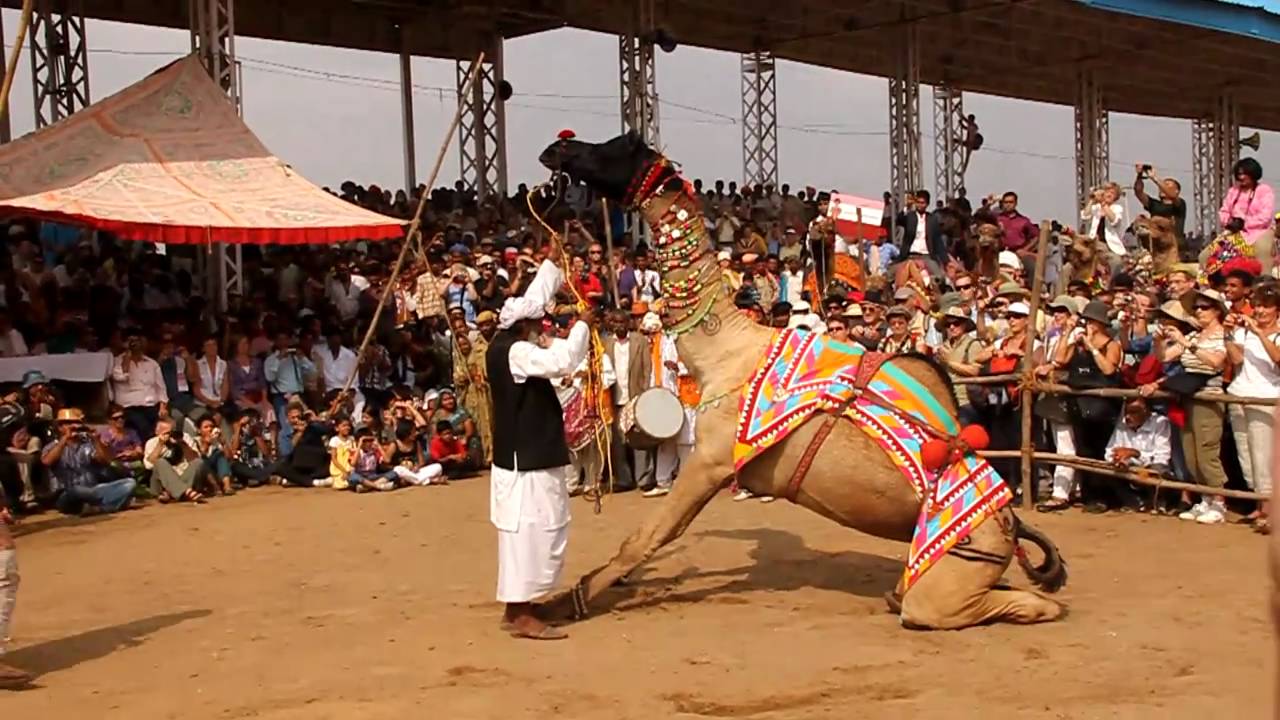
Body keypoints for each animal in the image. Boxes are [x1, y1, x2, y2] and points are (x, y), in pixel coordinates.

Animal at [535, 133, 1064, 627]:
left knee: (988, 605)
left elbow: (648, 536)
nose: (558, 148)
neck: (723, 352)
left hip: (957, 567)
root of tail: (1012, 524)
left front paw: (555, 607)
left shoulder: (711, 460)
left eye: (618, 147)